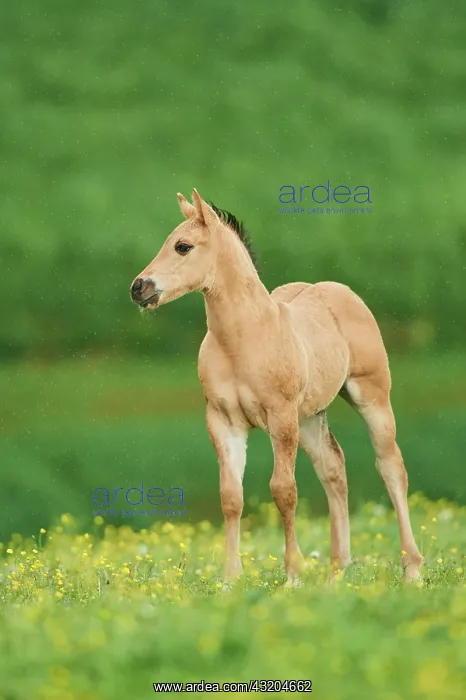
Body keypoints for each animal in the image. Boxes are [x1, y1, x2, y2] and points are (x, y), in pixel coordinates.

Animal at [130, 189, 423, 583]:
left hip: (371, 396)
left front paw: (293, 576)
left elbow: (283, 490)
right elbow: (231, 496)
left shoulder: (281, 417)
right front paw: (230, 579)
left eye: (182, 246)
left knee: (391, 467)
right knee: (333, 468)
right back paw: (338, 569)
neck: (243, 339)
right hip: (311, 415)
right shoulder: (223, 421)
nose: (139, 288)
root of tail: (336, 289)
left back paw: (412, 569)